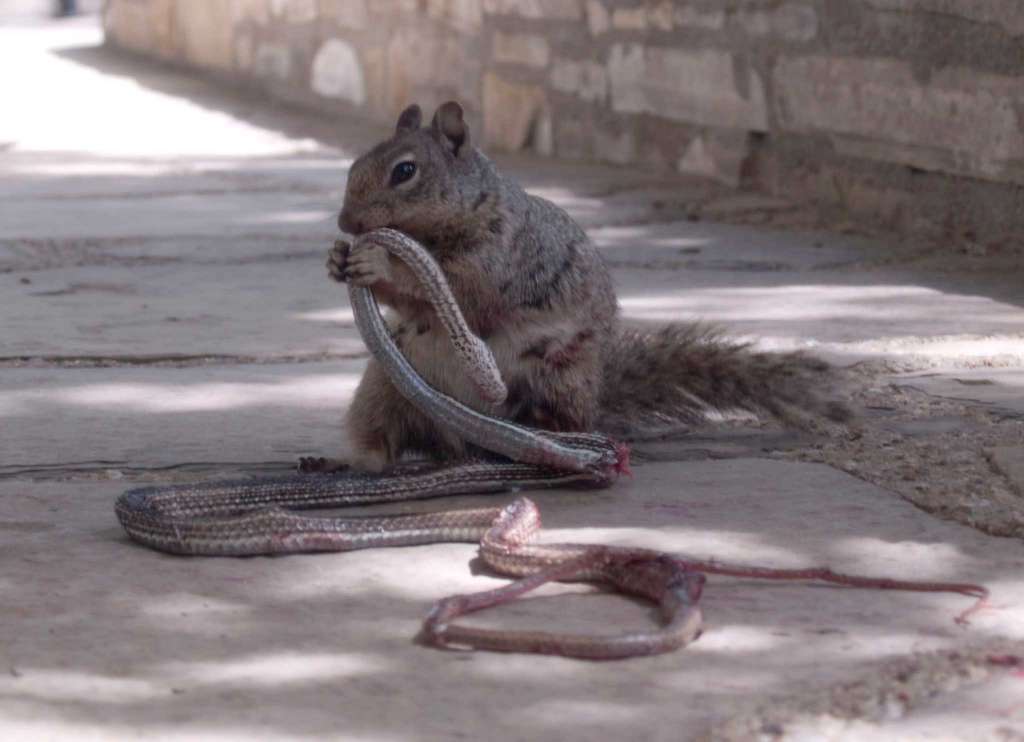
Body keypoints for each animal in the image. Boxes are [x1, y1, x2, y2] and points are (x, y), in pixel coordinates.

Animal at [303, 101, 847, 470]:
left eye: (405, 170)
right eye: (355, 164)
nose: (346, 222)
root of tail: (464, 441)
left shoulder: (501, 259)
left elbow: (457, 292)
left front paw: (378, 262)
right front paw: (337, 260)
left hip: (553, 378)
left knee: (558, 426)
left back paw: (543, 446)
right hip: (386, 386)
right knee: (382, 445)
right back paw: (346, 461)